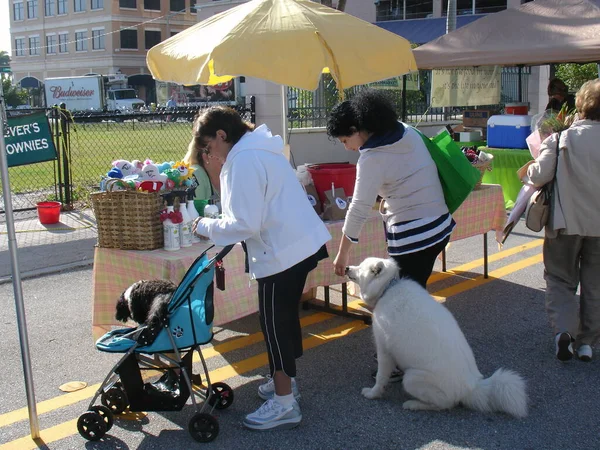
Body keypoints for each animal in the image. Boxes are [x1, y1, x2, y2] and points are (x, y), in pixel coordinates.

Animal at [344, 258, 528, 420]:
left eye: (360, 267)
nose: (346, 268)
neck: (388, 288)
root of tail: (471, 388)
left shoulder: (384, 350)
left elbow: (381, 378)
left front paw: (373, 394)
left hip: (412, 378)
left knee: (445, 404)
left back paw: (414, 404)